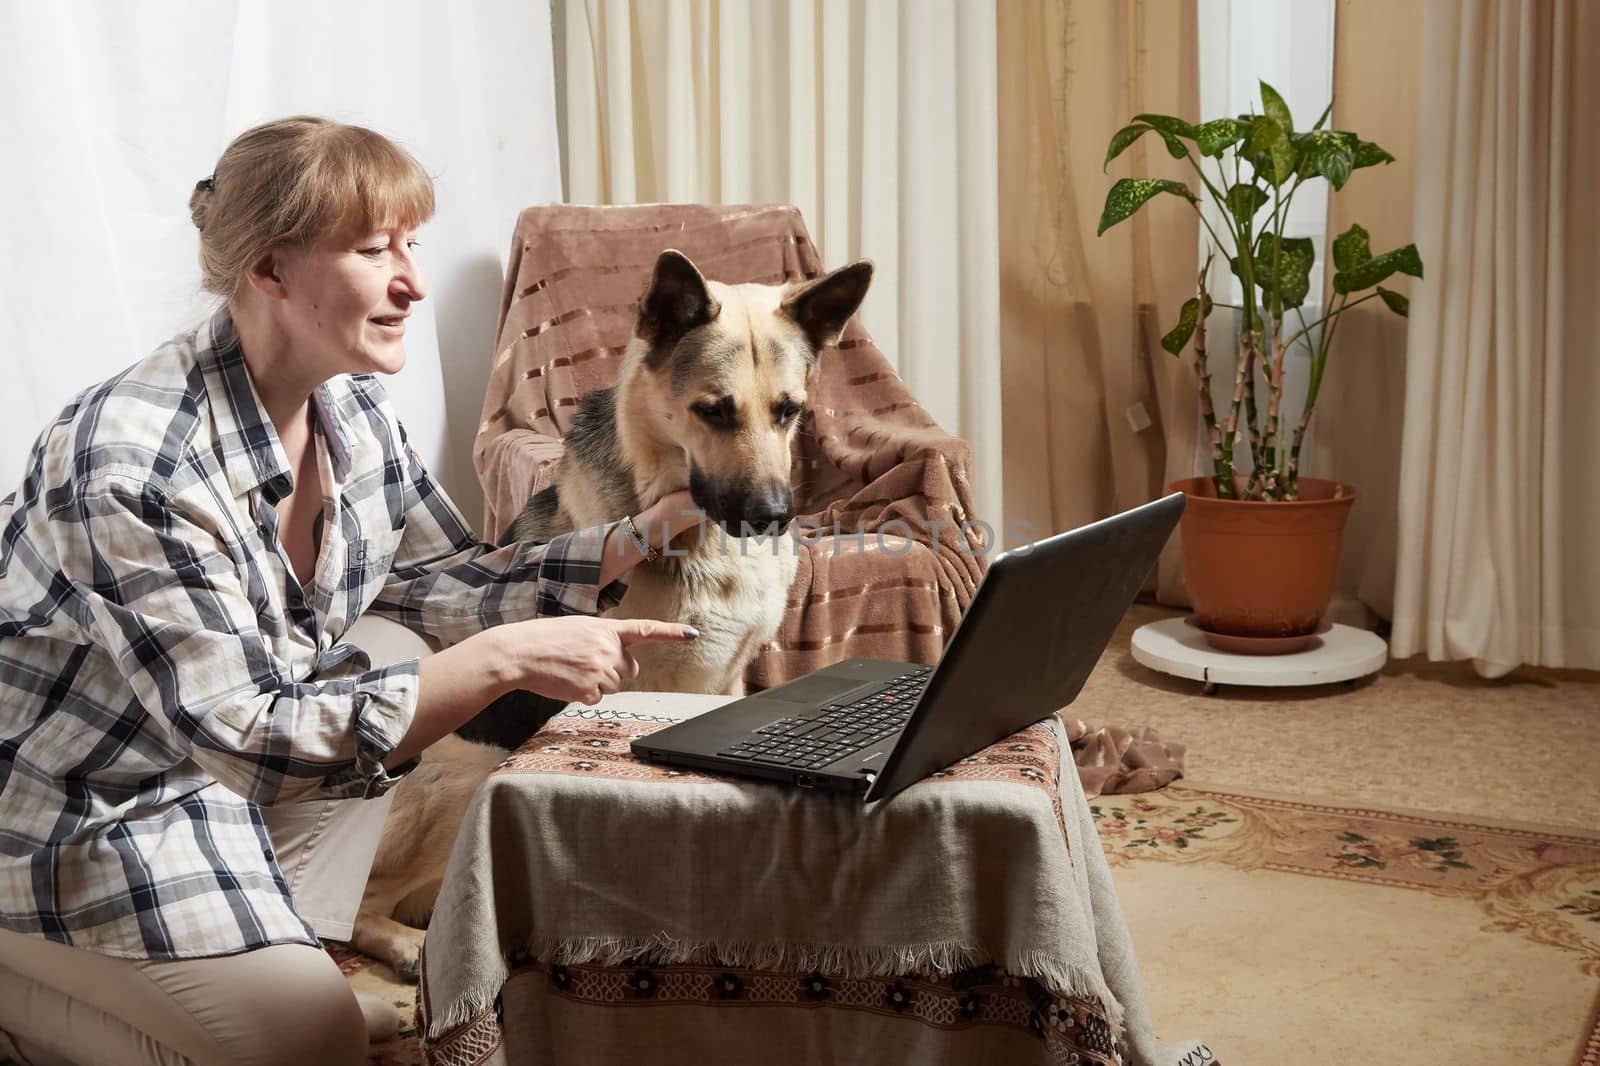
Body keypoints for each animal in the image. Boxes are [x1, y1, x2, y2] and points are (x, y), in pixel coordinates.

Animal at [353, 251, 876, 979]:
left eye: (788, 412)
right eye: (713, 411)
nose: (772, 516)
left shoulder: (730, 680)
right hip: (466, 777)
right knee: (351, 912)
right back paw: (406, 948)